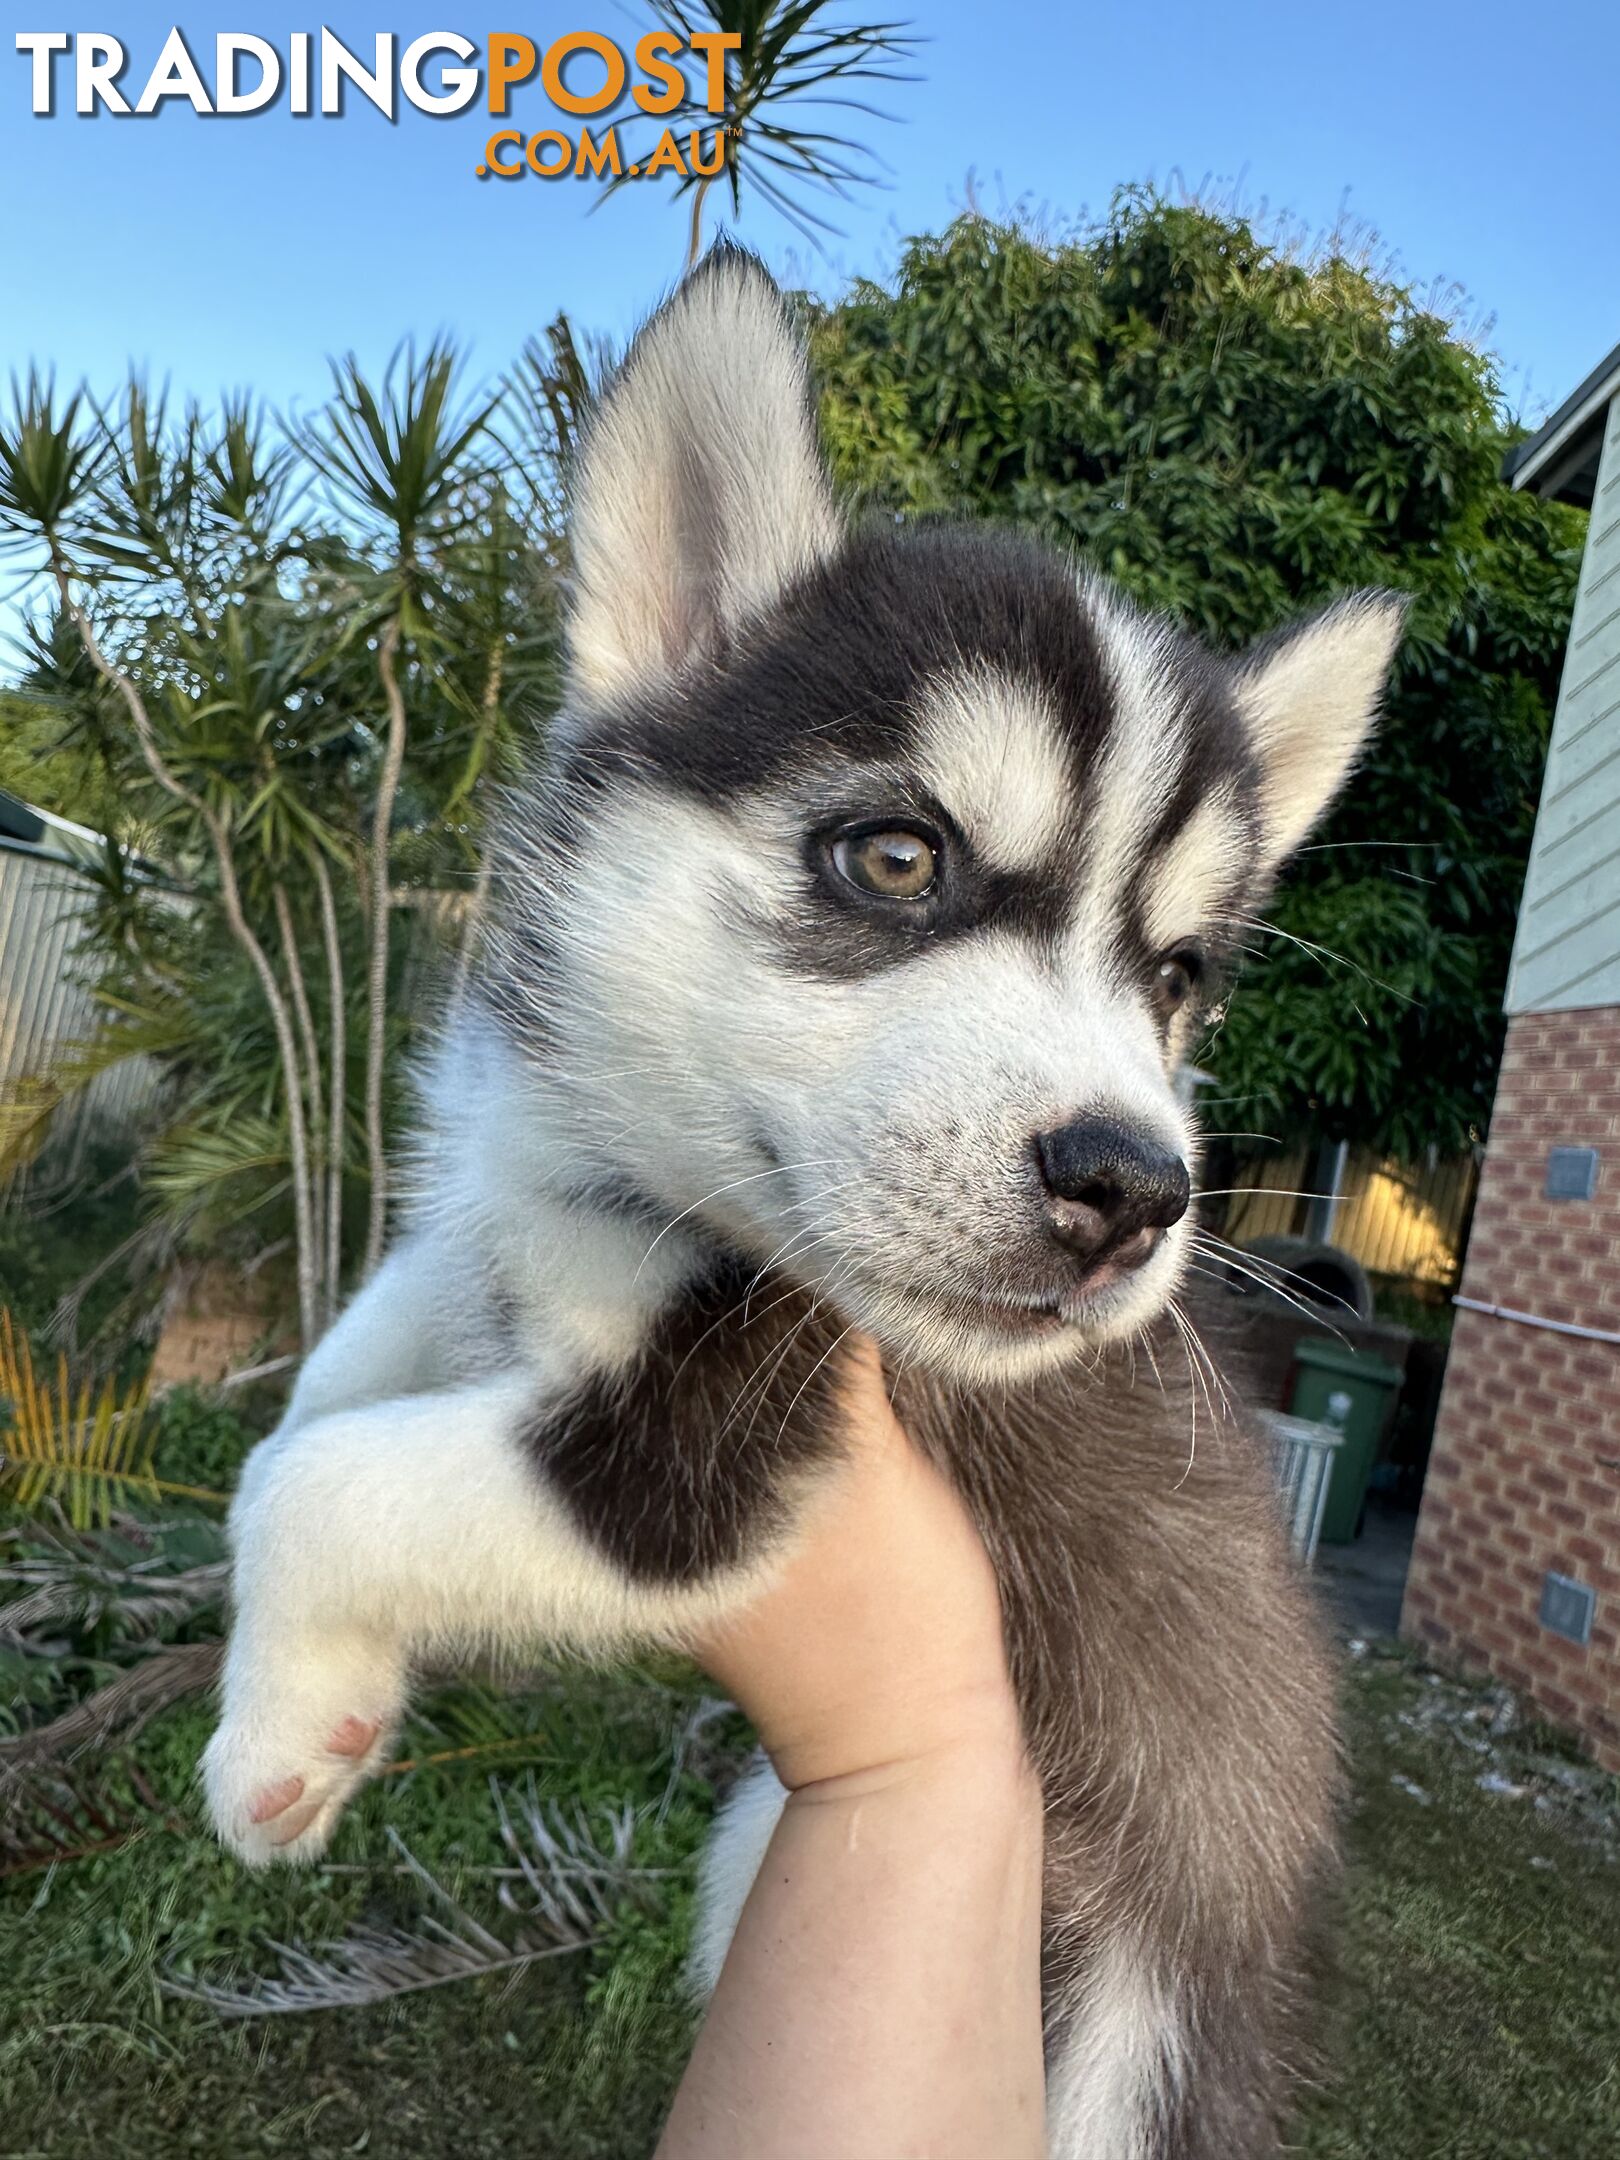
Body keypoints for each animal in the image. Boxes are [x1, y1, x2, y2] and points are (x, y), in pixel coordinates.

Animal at [206, 252, 1408, 2160]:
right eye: (897, 857)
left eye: (1176, 977)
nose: (1133, 1190)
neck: (620, 1160)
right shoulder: (494, 1218)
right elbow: (341, 1373)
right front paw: (315, 1705)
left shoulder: (697, 1455)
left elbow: (311, 1482)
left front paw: (268, 1741)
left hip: (1139, 2035)